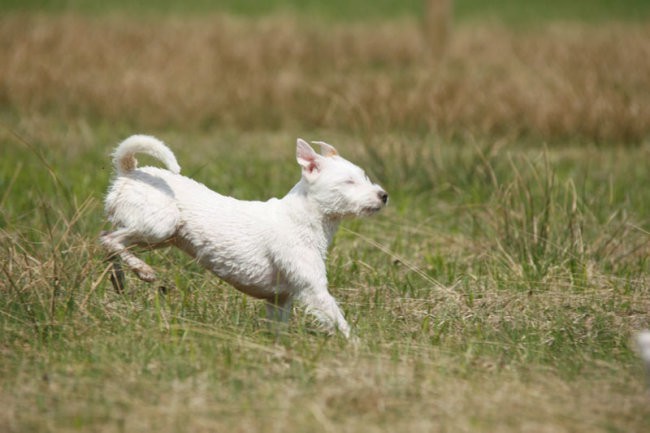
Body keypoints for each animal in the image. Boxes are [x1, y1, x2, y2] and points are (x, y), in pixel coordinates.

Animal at [100, 135, 384, 338]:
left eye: (364, 176)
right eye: (349, 182)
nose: (384, 195)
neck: (303, 218)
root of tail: (129, 172)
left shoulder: (280, 300)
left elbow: (278, 331)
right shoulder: (312, 289)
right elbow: (339, 322)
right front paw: (357, 349)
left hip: (158, 235)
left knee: (108, 240)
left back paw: (120, 279)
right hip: (160, 225)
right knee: (110, 240)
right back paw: (142, 270)